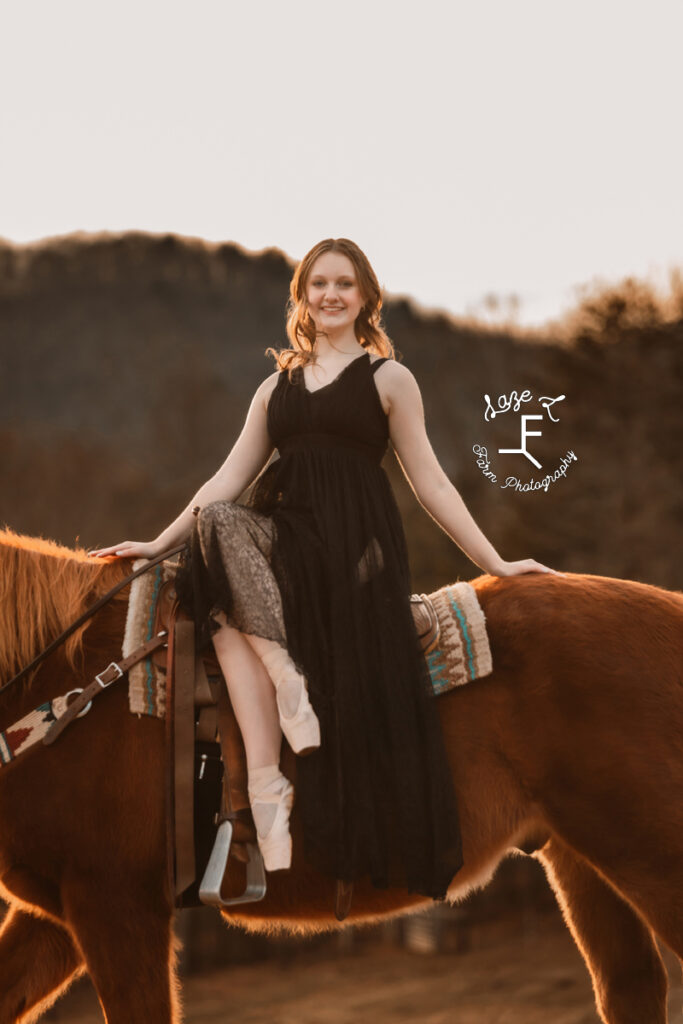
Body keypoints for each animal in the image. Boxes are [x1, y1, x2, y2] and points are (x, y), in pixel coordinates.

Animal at [0, 528, 679, 1024]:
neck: (74, 686)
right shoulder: (60, 917)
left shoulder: (117, 905)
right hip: (582, 863)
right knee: (630, 988)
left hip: (647, 854)